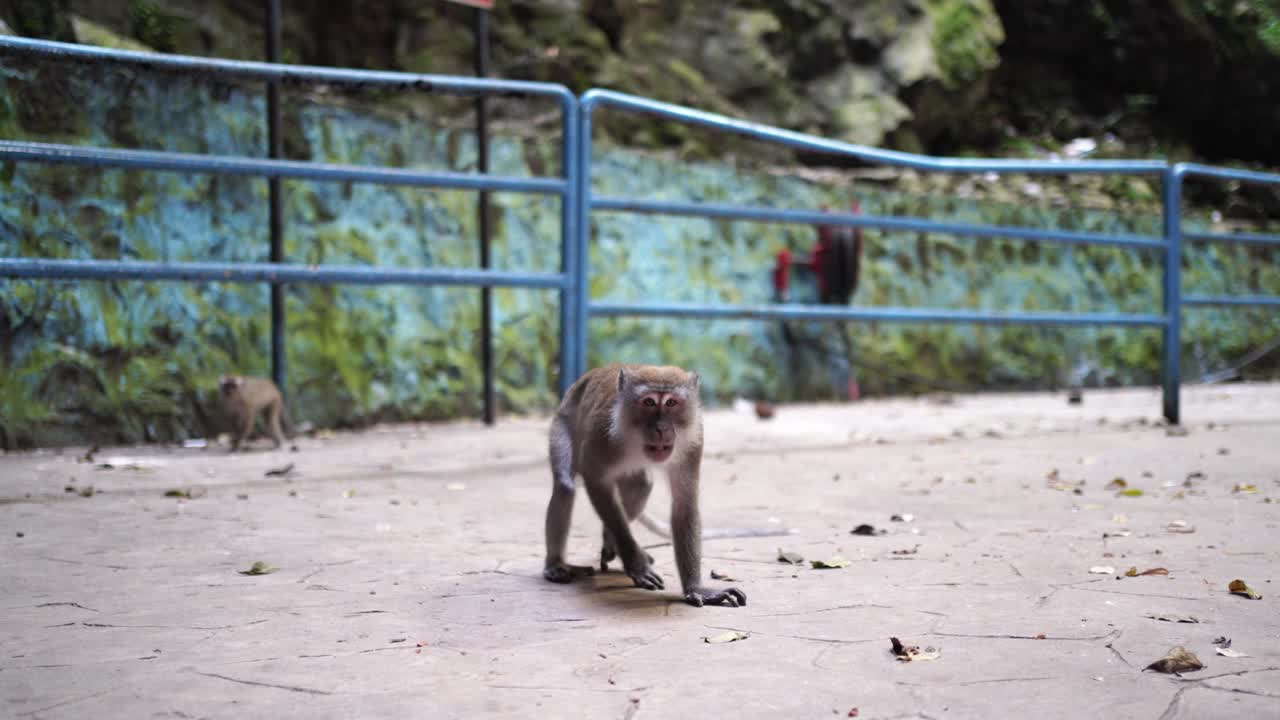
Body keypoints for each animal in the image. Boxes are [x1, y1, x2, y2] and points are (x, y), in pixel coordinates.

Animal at [543, 363, 750, 608]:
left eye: (671, 403)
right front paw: (637, 566)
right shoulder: (601, 432)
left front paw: (697, 589)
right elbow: (596, 479)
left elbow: (685, 504)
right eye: (649, 402)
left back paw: (609, 541)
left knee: (642, 485)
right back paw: (556, 564)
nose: (661, 428)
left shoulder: (693, 440)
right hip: (562, 421)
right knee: (565, 486)